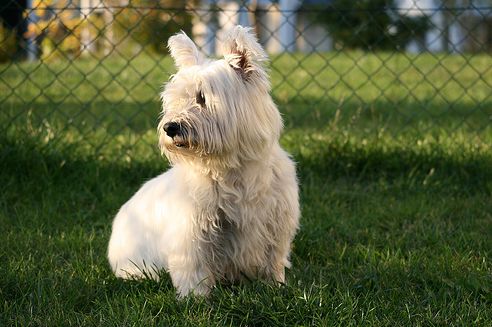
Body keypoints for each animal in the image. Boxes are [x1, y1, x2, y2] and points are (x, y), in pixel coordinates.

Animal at [107, 26, 300, 298]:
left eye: (202, 98)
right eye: (175, 99)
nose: (170, 127)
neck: (230, 168)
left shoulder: (275, 226)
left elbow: (273, 261)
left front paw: (275, 287)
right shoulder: (192, 231)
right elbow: (194, 268)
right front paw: (194, 299)